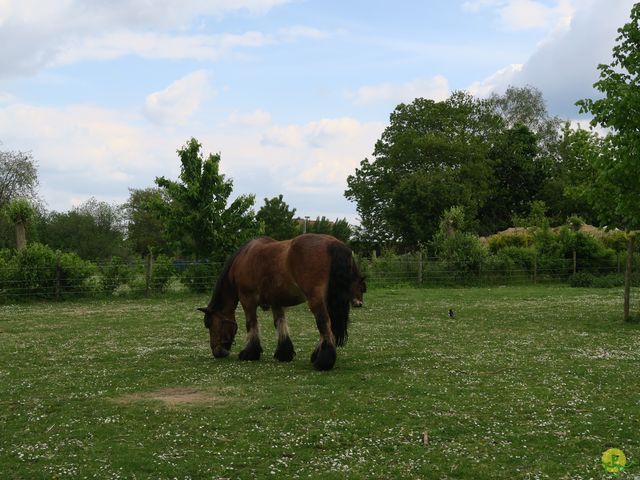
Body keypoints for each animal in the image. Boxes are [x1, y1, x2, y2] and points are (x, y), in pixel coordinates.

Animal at [198, 232, 364, 372]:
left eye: (209, 324)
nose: (217, 352)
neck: (244, 258)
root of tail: (334, 244)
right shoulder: (276, 301)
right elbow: (280, 322)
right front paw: (284, 353)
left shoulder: (247, 300)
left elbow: (251, 324)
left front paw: (250, 353)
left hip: (316, 299)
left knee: (324, 323)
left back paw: (323, 361)